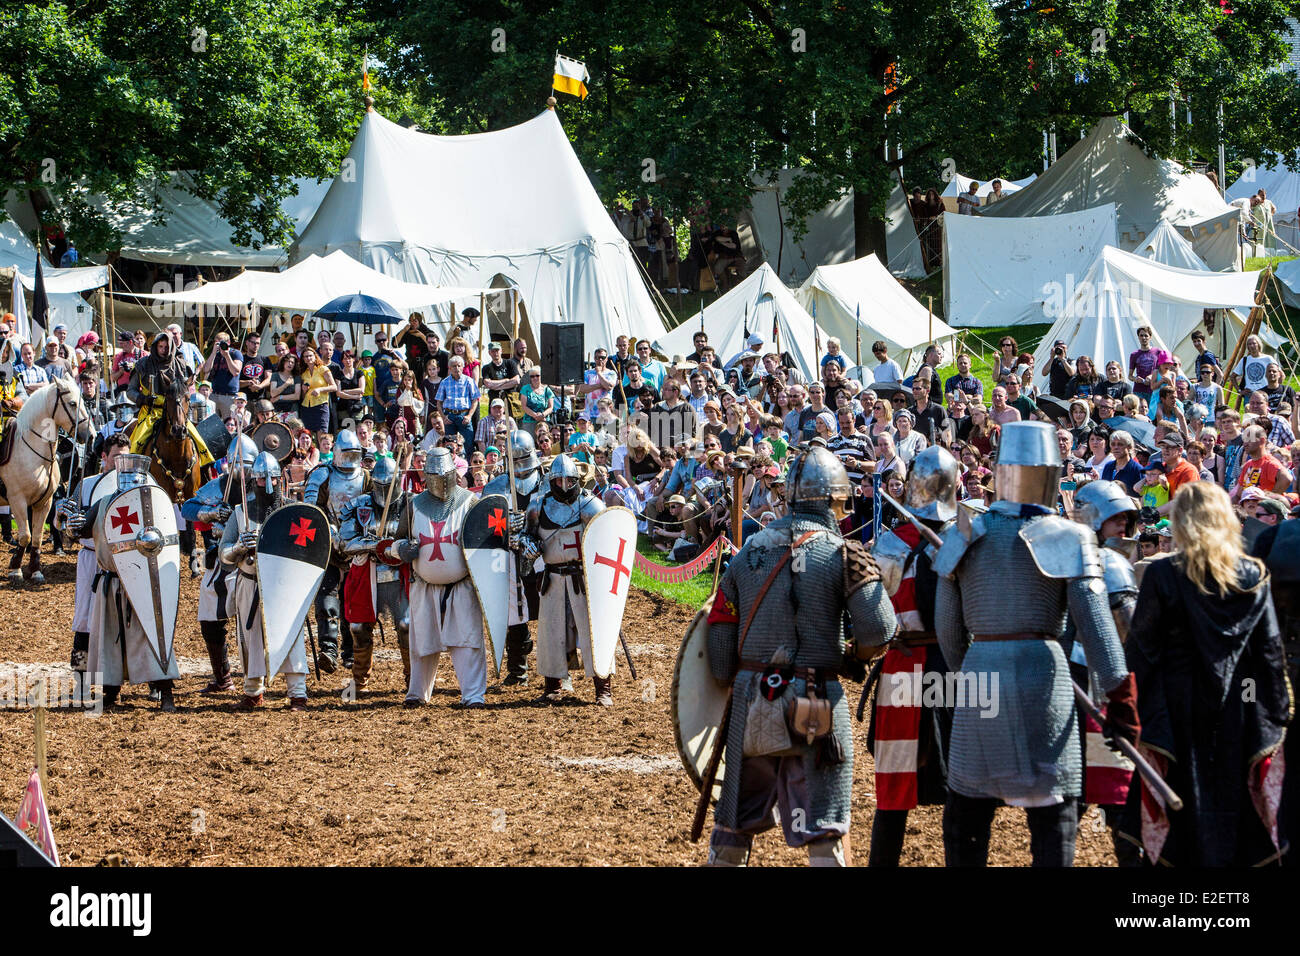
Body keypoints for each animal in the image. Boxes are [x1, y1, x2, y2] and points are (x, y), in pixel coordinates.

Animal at [0, 379, 91, 582]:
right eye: (72, 403)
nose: (89, 434)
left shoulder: (44, 502)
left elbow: (37, 537)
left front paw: (35, 571)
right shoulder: (17, 500)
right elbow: (25, 535)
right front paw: (15, 569)